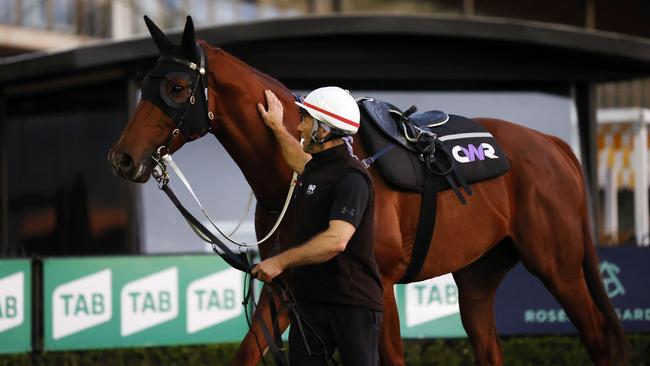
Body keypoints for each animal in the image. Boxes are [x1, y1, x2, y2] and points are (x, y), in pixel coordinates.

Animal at [109, 17, 624, 366]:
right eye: (146, 85)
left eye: (177, 87)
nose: (123, 158)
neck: (300, 173)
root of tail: (553, 145)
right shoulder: (284, 285)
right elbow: (249, 351)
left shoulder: (380, 288)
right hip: (479, 276)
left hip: (557, 266)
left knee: (599, 338)